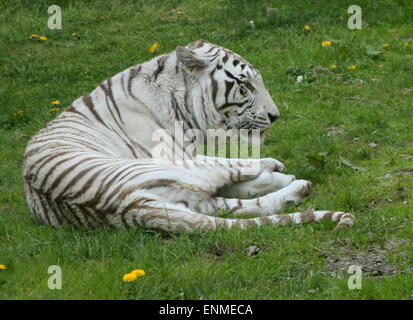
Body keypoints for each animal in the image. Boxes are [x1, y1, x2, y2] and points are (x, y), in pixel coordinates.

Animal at [22, 40, 352, 231]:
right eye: (245, 85)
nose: (275, 116)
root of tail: (129, 204)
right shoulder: (179, 155)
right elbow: (230, 164)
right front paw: (272, 166)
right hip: (174, 172)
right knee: (229, 182)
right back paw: (290, 180)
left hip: (183, 197)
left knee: (240, 204)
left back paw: (296, 187)